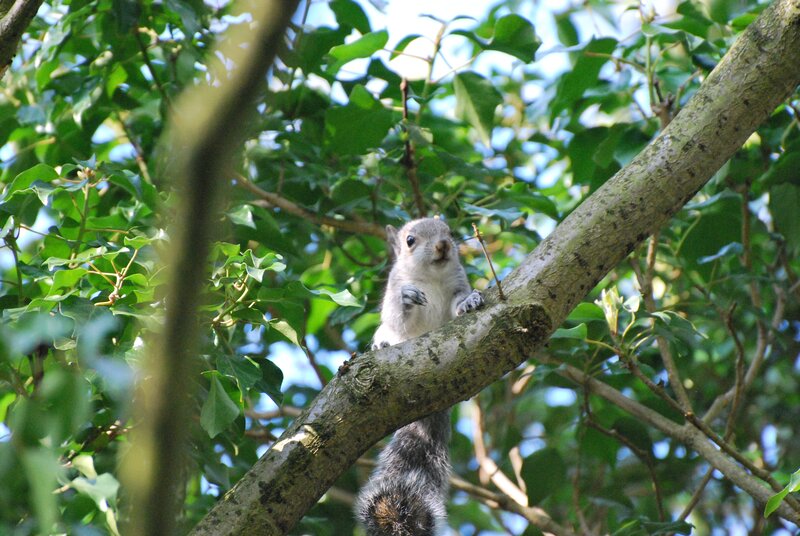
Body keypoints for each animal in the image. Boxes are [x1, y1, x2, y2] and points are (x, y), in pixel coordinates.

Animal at [355, 217, 484, 536]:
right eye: (410, 240)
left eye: (448, 231)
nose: (444, 245)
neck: (433, 276)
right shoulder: (394, 290)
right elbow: (396, 316)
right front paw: (407, 299)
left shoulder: (457, 284)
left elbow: (458, 302)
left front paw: (470, 301)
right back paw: (381, 345)